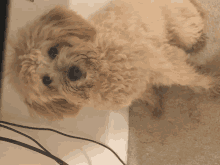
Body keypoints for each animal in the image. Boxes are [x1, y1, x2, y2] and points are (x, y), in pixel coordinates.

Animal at [5, 0, 218, 119]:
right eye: (46, 81)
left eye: (52, 51)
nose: (74, 72)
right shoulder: (137, 89)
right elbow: (146, 94)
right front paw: (155, 103)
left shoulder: (164, 64)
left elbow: (191, 78)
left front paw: (212, 86)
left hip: (183, 28)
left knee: (194, 25)